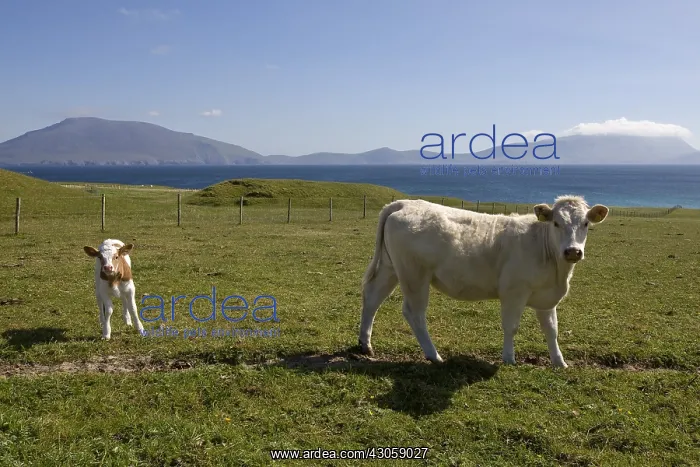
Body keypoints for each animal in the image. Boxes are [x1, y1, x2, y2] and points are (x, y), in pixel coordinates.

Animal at [358, 195, 609, 368]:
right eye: (556, 223)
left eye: (586, 224)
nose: (573, 251)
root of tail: (404, 203)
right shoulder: (514, 292)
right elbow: (511, 326)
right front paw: (509, 358)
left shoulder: (546, 298)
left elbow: (552, 330)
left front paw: (559, 362)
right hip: (414, 275)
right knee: (414, 313)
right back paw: (434, 355)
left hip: (391, 268)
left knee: (372, 297)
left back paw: (365, 343)